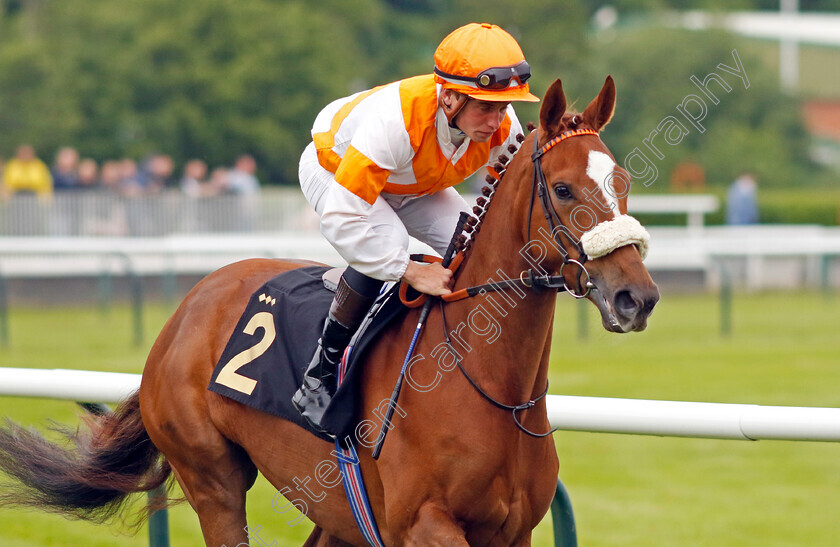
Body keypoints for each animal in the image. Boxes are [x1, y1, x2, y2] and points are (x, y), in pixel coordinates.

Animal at [0, 75, 656, 544]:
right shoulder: (424, 525)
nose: (638, 297)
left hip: (334, 511)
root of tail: (186, 308)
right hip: (212, 476)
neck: (486, 386)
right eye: (564, 189)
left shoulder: (511, 532)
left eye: (622, 182)